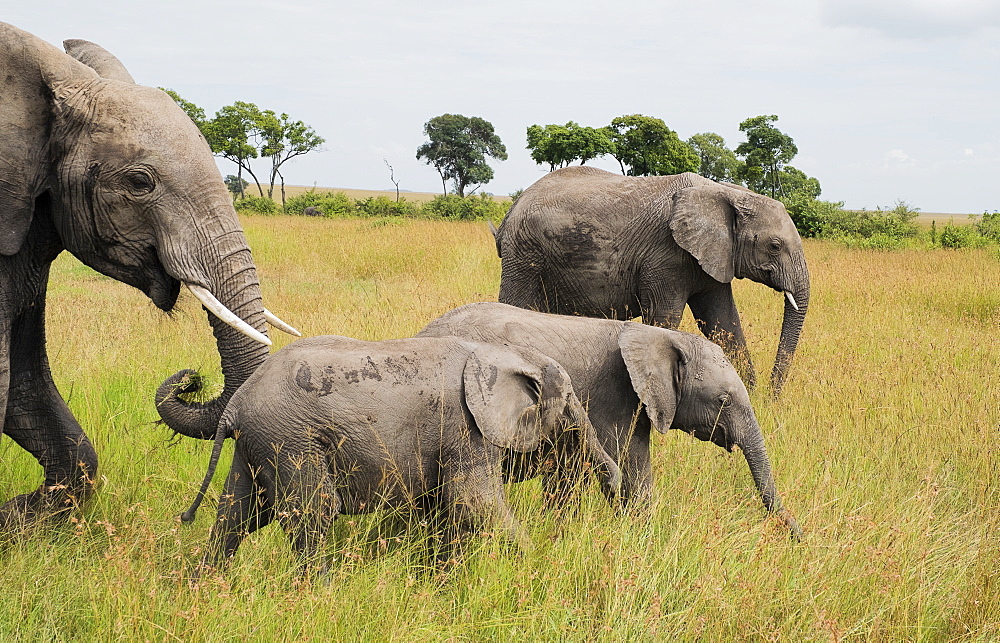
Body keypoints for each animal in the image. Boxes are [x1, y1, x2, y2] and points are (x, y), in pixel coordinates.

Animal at [179, 334, 616, 572]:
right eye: (571, 404)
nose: (614, 480)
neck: (501, 351)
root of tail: (236, 404)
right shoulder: (466, 427)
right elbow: (475, 503)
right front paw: (536, 568)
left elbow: (445, 509)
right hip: (291, 439)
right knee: (313, 515)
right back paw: (319, 595)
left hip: (259, 443)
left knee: (237, 514)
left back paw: (205, 588)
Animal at [496, 165, 808, 398]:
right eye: (775, 246)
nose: (772, 395)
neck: (726, 192)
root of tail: (514, 206)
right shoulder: (666, 256)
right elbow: (665, 318)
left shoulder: (715, 256)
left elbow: (723, 321)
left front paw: (750, 395)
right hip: (524, 254)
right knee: (515, 304)